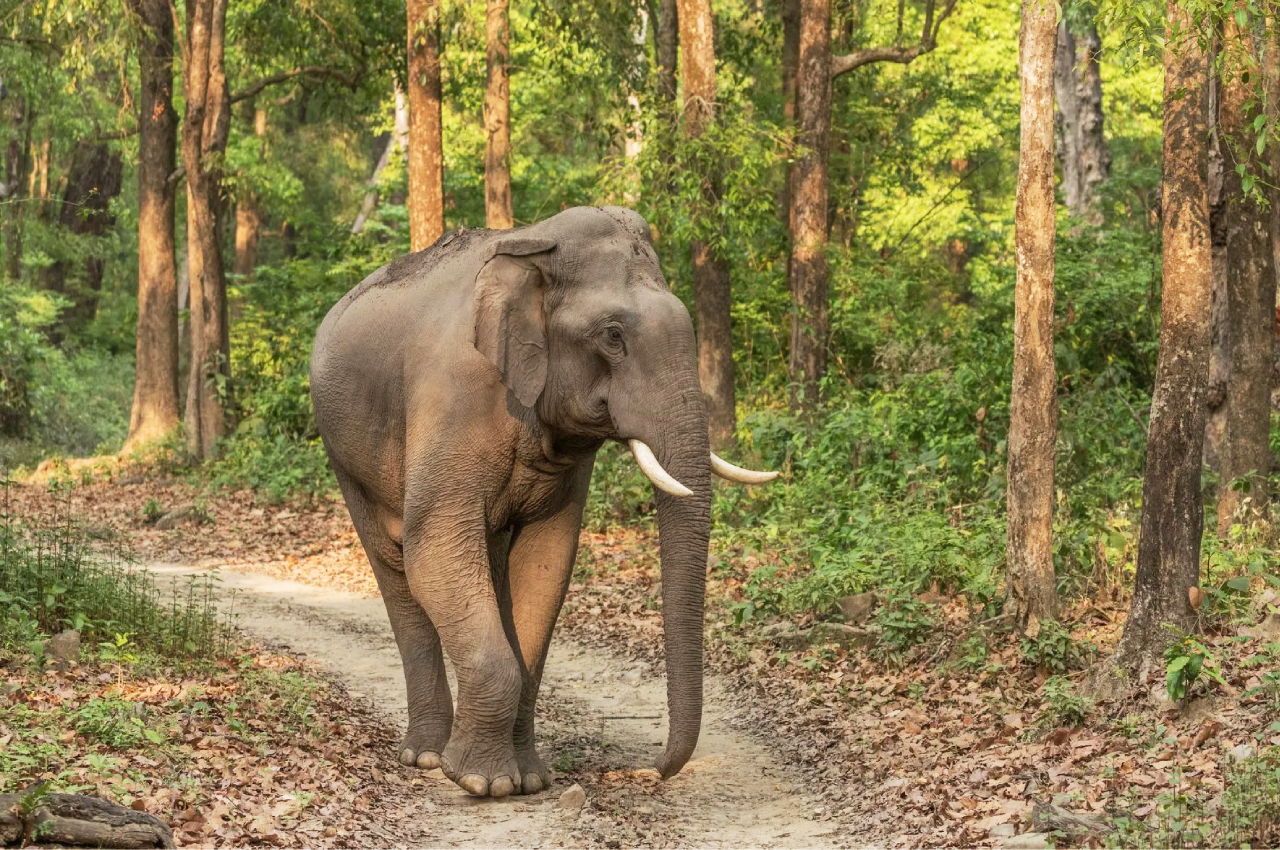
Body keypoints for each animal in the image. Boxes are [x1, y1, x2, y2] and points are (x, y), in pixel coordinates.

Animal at [309, 206, 776, 798]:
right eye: (614, 336)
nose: (654, 768)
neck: (535, 247)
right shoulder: (450, 400)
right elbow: (434, 552)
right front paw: (482, 783)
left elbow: (545, 562)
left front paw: (529, 779)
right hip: (345, 455)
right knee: (395, 566)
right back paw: (425, 757)